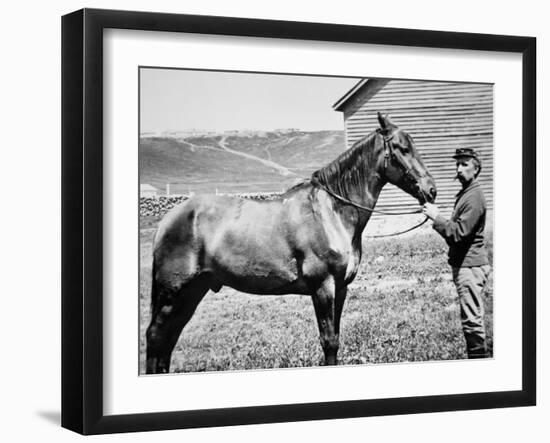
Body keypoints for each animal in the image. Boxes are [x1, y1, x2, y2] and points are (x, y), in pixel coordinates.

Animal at [144, 112, 438, 372]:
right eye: (403, 148)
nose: (431, 190)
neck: (330, 211)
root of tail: (169, 219)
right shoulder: (323, 287)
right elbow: (329, 342)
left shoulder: (341, 288)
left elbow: (336, 338)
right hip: (174, 292)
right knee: (156, 336)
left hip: (193, 291)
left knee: (169, 338)